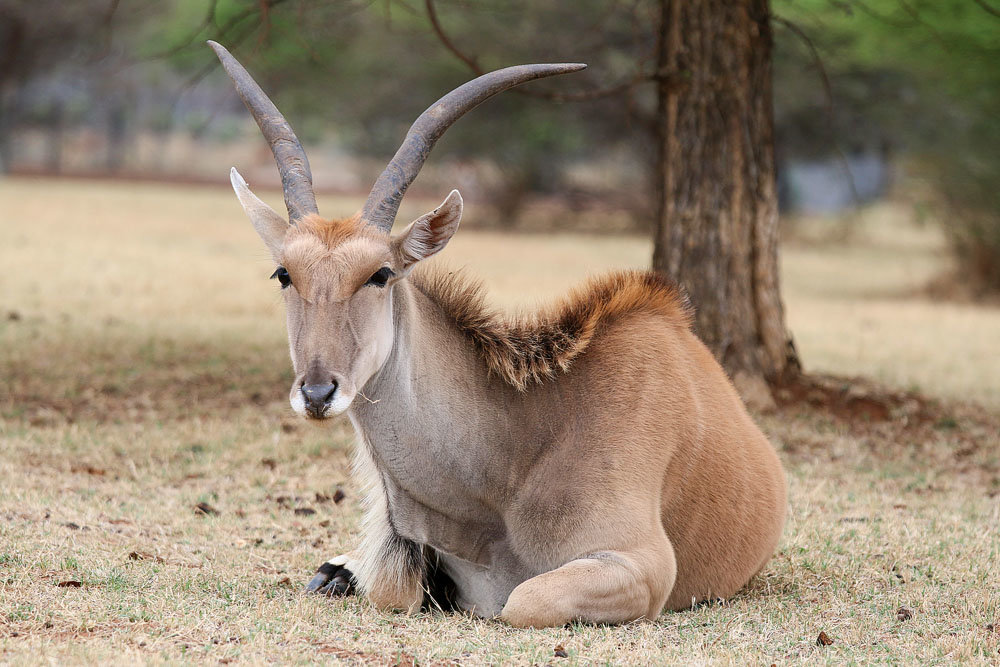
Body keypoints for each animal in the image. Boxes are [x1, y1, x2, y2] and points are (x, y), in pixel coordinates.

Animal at [211, 40, 788, 628]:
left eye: (380, 273)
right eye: (285, 274)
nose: (317, 392)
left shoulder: (641, 566)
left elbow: (521, 600)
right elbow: (393, 589)